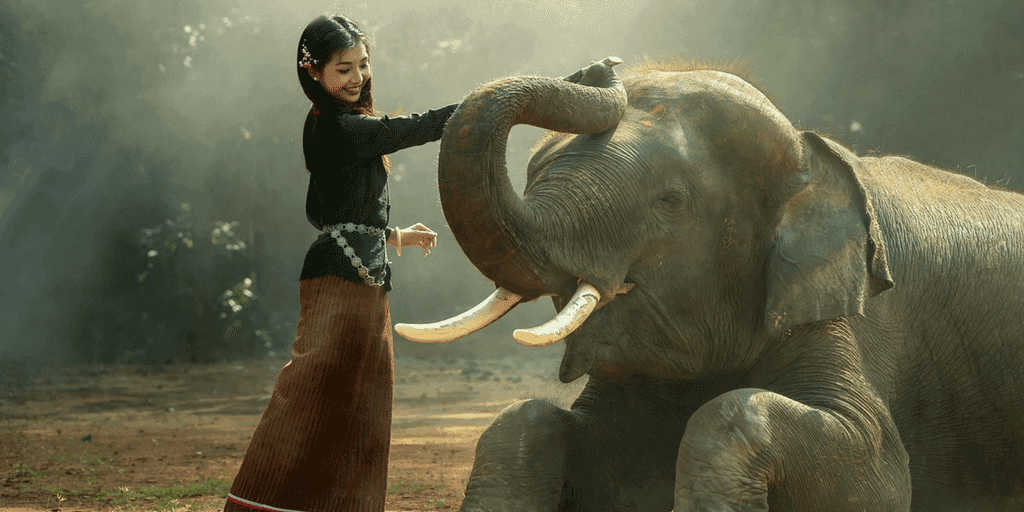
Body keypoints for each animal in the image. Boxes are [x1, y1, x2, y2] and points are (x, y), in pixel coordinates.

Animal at [394, 57, 1024, 511]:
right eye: (533, 174)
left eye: (671, 201)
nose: (601, 66)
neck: (809, 151)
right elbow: (532, 428)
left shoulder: (843, 311)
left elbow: (880, 474)